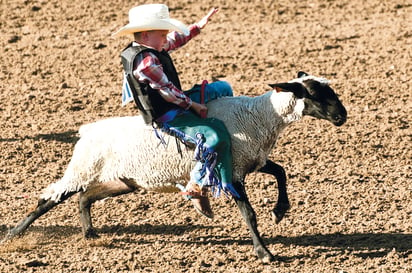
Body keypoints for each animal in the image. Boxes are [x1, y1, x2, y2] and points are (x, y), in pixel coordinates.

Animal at [2, 71, 348, 262]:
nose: (342, 116)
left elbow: (280, 172)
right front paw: (265, 253)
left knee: (84, 197)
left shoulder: (249, 160)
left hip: (123, 179)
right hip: (82, 168)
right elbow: (249, 213)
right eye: (314, 92)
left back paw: (90, 234)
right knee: (49, 198)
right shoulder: (230, 170)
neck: (259, 116)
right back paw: (14, 235)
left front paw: (279, 211)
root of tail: (86, 131)